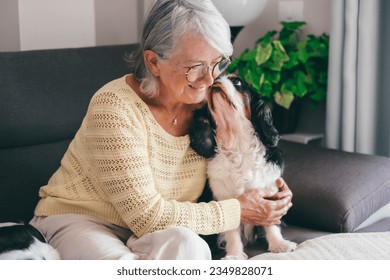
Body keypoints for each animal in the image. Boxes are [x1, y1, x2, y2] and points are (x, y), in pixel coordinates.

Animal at [189, 74, 296, 260]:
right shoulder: (225, 198)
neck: (237, 142)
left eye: (237, 82)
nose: (215, 79)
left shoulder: (269, 190)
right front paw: (235, 255)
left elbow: (271, 224)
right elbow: (231, 229)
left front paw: (279, 245)